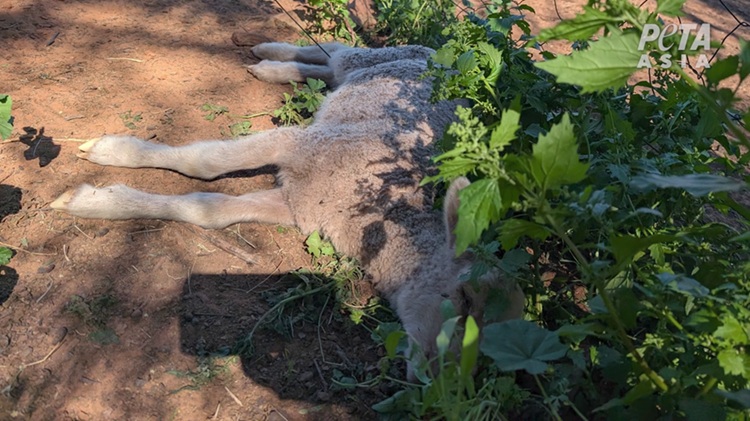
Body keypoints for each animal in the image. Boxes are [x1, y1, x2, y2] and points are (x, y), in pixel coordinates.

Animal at [50, 42, 524, 378]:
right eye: (465, 300)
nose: (438, 380)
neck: (379, 216)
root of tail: (446, 58)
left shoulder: (299, 205)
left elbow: (212, 210)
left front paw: (101, 197)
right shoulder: (299, 144)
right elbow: (206, 162)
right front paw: (107, 163)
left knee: (329, 67)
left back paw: (272, 66)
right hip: (382, 56)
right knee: (336, 48)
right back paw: (271, 55)